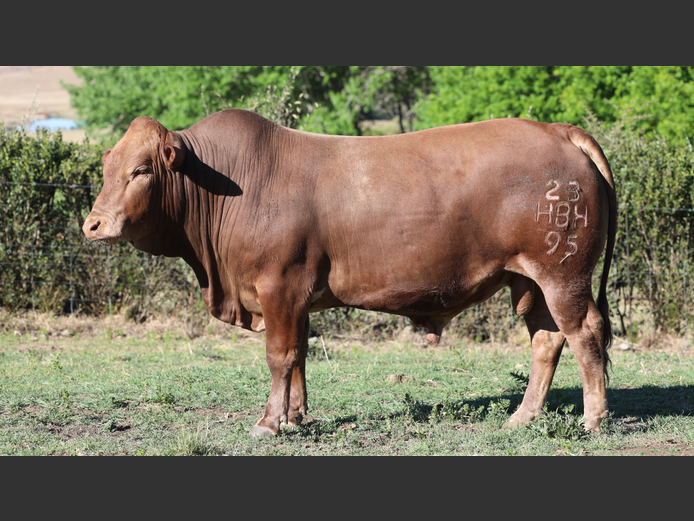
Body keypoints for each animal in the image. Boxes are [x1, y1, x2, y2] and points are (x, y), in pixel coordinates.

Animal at [83, 109, 617, 437]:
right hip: (531, 281)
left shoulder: (279, 286)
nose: (93, 224)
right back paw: (523, 417)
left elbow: (280, 355)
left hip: (563, 275)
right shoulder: (297, 297)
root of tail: (557, 129)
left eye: (141, 171)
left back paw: (593, 419)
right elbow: (299, 355)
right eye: (108, 168)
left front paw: (269, 422)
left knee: (585, 333)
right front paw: (295, 416)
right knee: (547, 339)